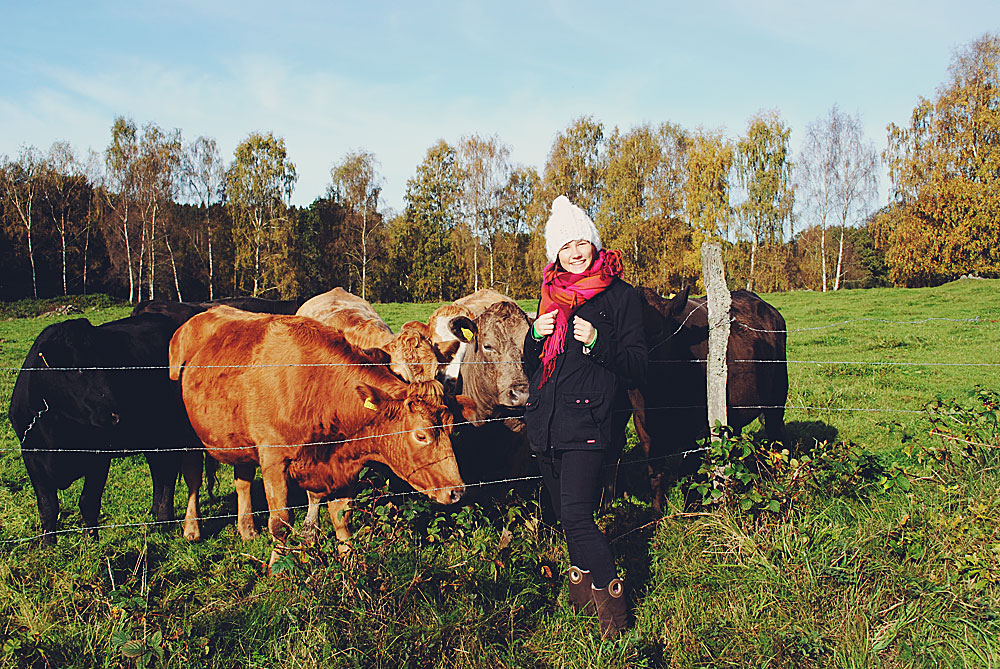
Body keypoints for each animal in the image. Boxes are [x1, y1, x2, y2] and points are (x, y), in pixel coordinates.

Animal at [8, 314, 198, 544]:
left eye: (107, 365)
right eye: (77, 368)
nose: (115, 416)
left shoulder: (99, 457)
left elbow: (88, 501)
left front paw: (92, 541)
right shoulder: (32, 456)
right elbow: (47, 506)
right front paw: (47, 544)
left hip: (170, 433)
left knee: (167, 474)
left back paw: (163, 519)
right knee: (158, 471)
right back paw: (154, 512)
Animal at [168, 306, 468, 552]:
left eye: (451, 427)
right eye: (421, 435)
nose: (457, 491)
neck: (318, 387)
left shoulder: (343, 464)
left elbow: (340, 516)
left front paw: (349, 559)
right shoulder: (273, 460)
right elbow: (281, 522)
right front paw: (278, 568)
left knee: (242, 481)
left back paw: (247, 530)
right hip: (187, 436)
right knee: (193, 478)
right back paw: (192, 529)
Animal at [616, 284, 788, 508]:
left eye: (657, 331)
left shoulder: (699, 431)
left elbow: (691, 475)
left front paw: (690, 511)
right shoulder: (643, 426)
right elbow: (656, 474)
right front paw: (656, 511)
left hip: (778, 393)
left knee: (776, 432)